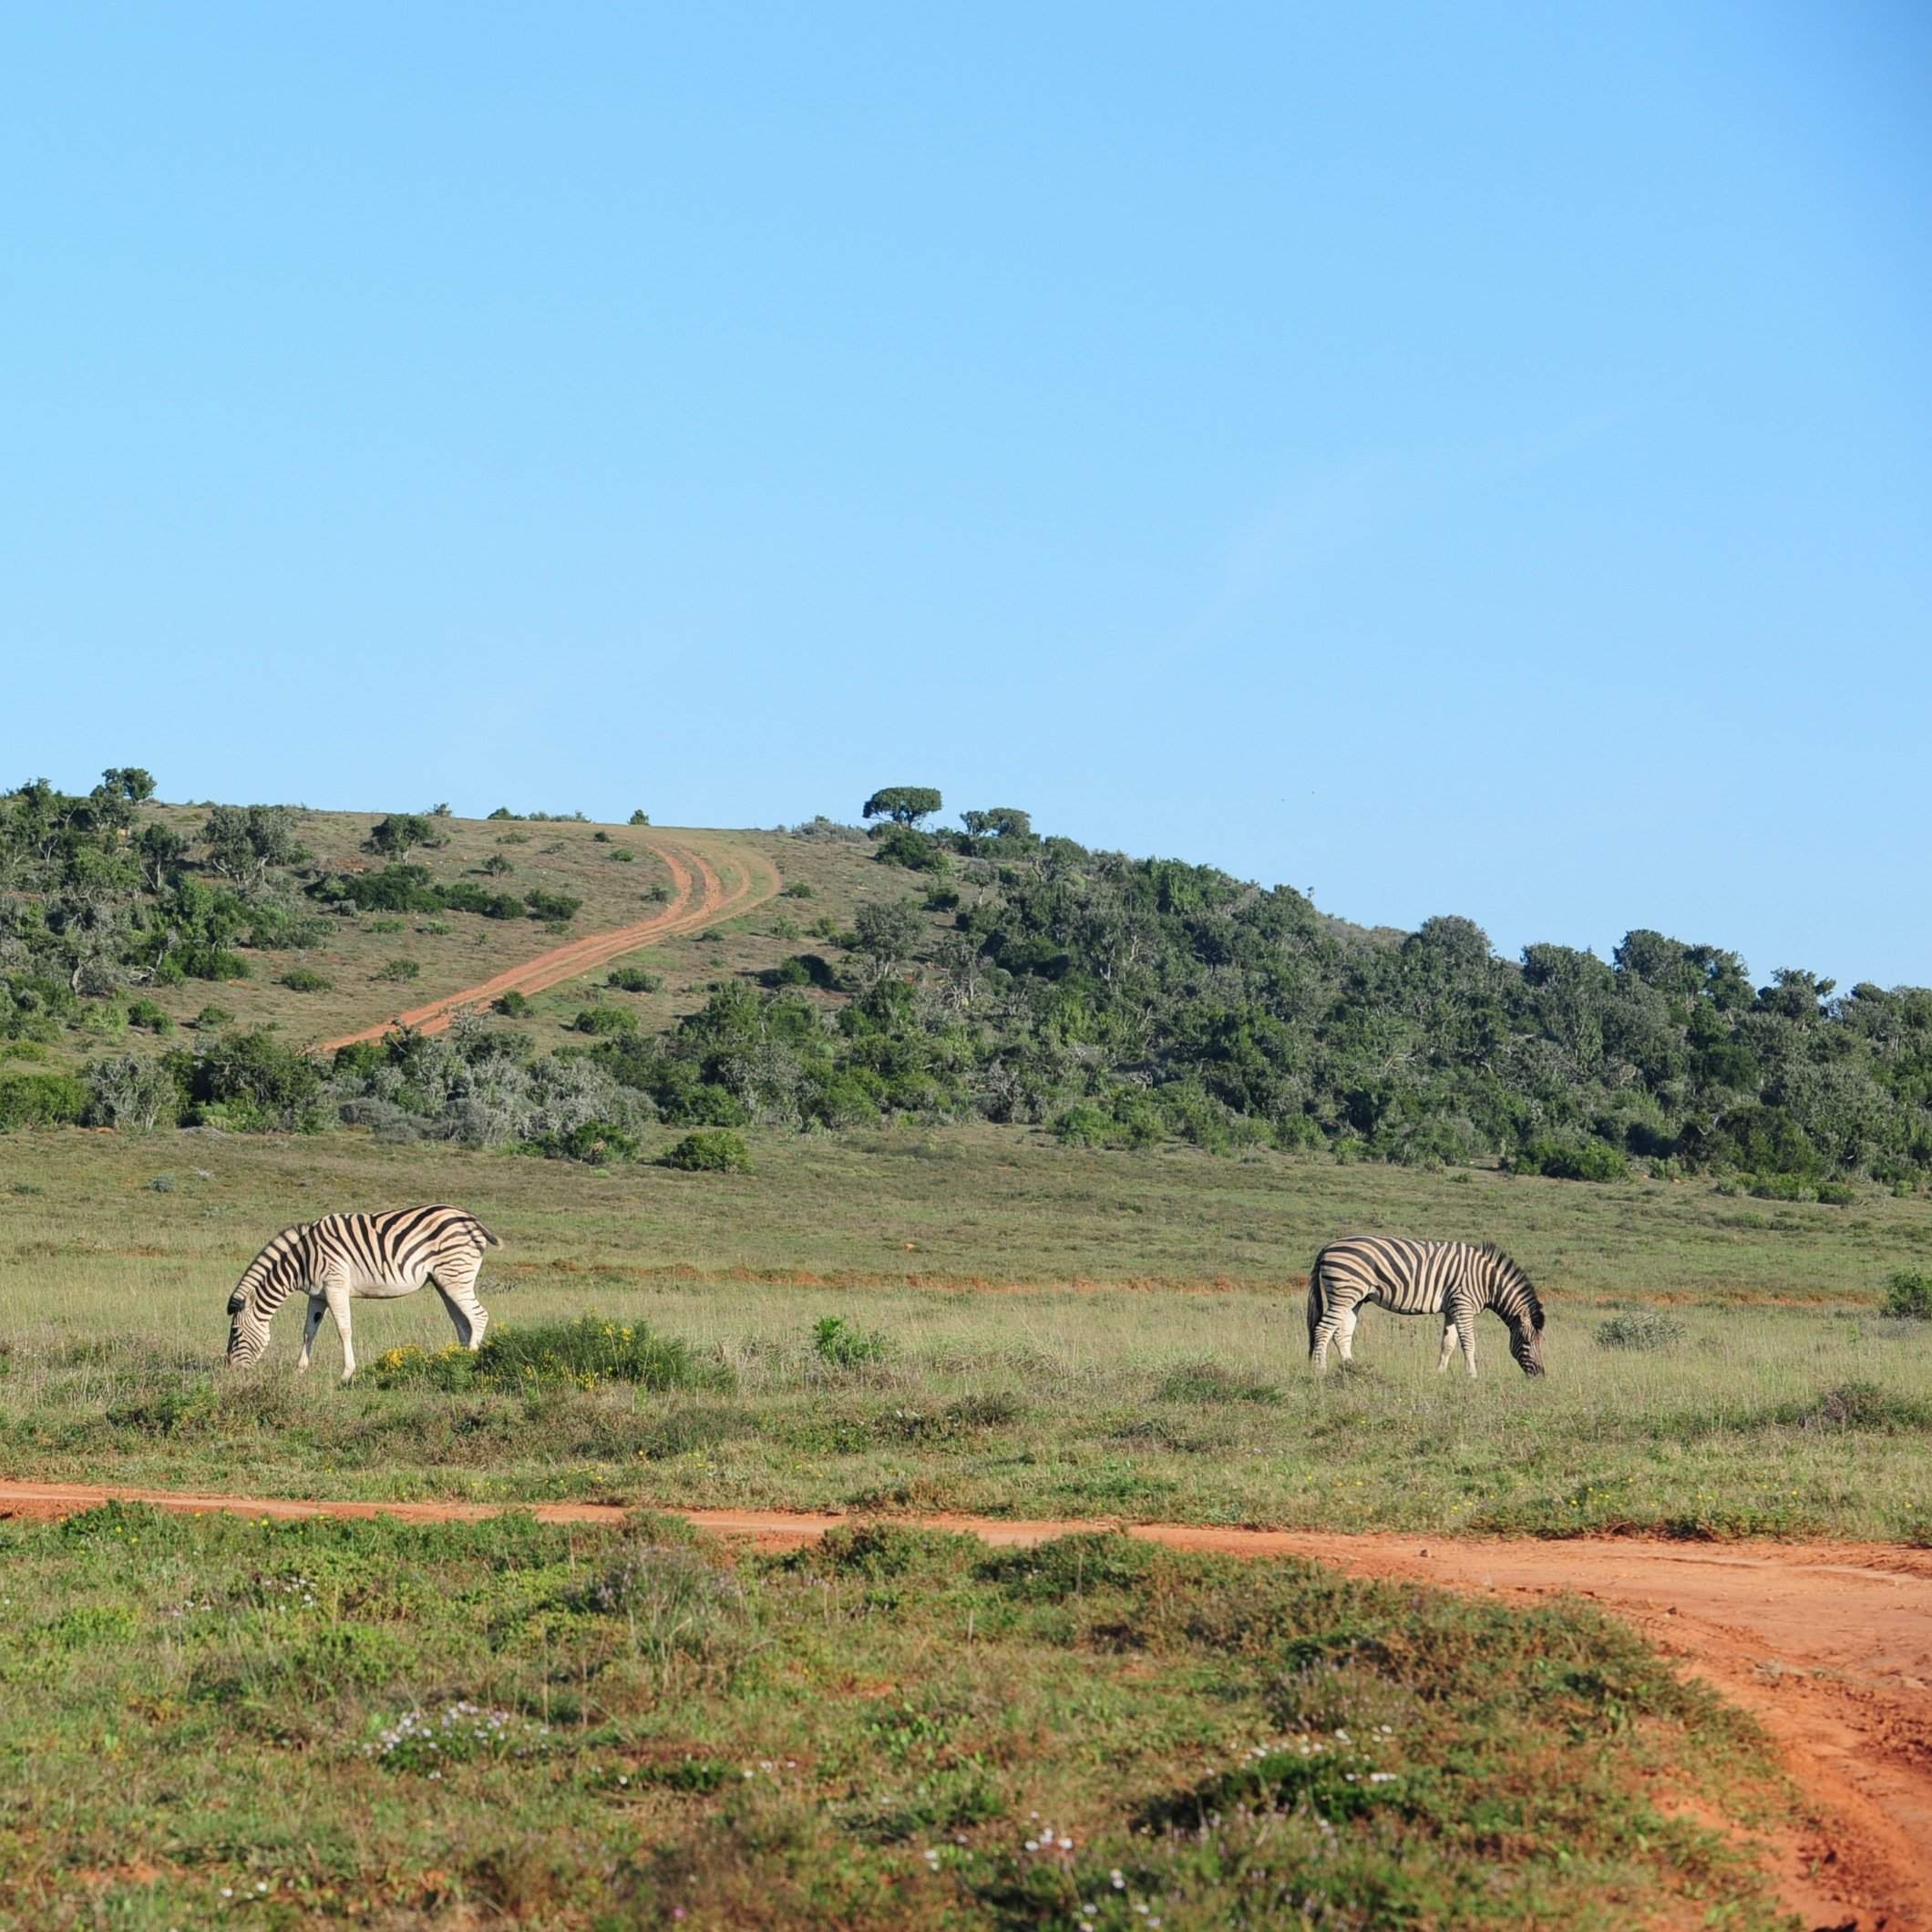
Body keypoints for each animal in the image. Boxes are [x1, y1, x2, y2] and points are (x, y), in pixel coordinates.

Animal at [227, 1197, 502, 1382]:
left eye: (236, 1332)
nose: (231, 1370)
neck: (303, 1259)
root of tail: (472, 1219)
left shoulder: (335, 1285)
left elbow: (343, 1329)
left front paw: (347, 1374)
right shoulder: (317, 1295)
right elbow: (308, 1331)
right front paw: (299, 1370)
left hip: (455, 1277)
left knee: (479, 1316)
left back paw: (470, 1363)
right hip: (444, 1281)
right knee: (463, 1322)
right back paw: (458, 1360)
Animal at [1306, 1236, 1545, 1375]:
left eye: (1540, 1343)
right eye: (1526, 1342)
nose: (1540, 1374)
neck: (1487, 1282)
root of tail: (1327, 1247)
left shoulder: (1452, 1309)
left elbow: (1448, 1344)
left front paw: (1439, 1373)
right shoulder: (1463, 1305)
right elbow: (1468, 1343)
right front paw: (1472, 1376)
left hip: (1354, 1298)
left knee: (1341, 1334)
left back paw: (1351, 1368)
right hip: (1343, 1294)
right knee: (1323, 1329)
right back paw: (1321, 1371)